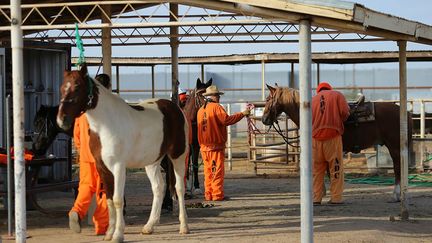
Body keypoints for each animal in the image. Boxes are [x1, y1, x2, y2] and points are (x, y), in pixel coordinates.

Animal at [57, 65, 189, 242]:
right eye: (62, 88)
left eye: (77, 87)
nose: (62, 120)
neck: (105, 126)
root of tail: (175, 108)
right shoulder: (103, 169)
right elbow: (109, 201)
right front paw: (109, 233)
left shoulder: (118, 167)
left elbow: (118, 200)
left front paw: (118, 234)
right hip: (152, 162)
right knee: (158, 188)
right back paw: (149, 227)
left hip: (178, 156)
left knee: (179, 188)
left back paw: (184, 226)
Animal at [262, 84, 414, 202]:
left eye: (268, 99)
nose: (264, 119)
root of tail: (404, 112)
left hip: (394, 146)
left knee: (397, 168)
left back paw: (396, 195)